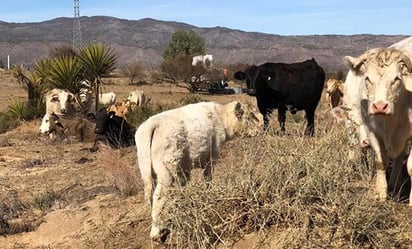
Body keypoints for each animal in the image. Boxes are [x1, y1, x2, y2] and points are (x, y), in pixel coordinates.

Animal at [137, 100, 262, 240]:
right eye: (249, 116)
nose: (259, 130)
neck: (220, 116)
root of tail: (153, 123)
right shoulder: (212, 157)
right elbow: (208, 179)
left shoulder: (185, 168)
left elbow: (184, 185)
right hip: (166, 172)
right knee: (158, 196)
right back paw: (156, 232)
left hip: (146, 169)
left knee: (150, 196)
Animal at [342, 47, 412, 204]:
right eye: (367, 78)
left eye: (397, 78)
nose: (380, 106)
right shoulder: (372, 132)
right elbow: (380, 162)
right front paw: (380, 193)